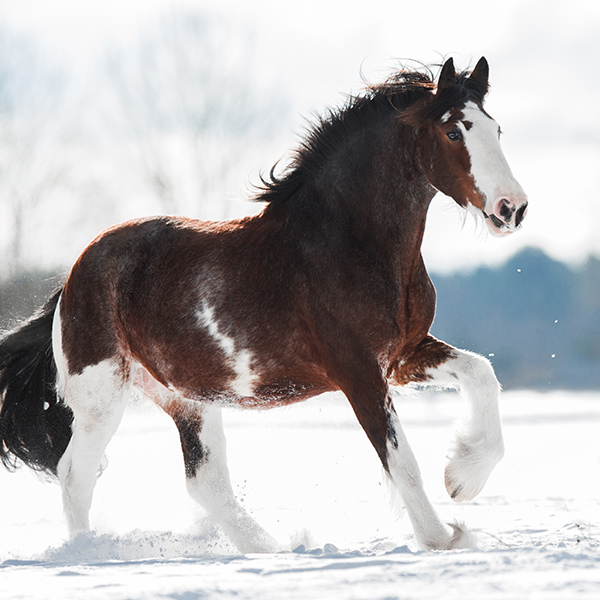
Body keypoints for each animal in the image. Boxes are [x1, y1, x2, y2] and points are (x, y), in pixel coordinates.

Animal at [0, 57, 524, 552]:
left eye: (497, 128)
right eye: (454, 130)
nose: (512, 208)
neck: (347, 240)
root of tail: (72, 278)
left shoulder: (401, 356)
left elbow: (481, 373)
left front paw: (463, 477)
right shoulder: (357, 370)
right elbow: (401, 459)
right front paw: (444, 536)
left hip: (187, 397)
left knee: (205, 483)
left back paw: (275, 548)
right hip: (102, 394)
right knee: (76, 473)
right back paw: (88, 552)